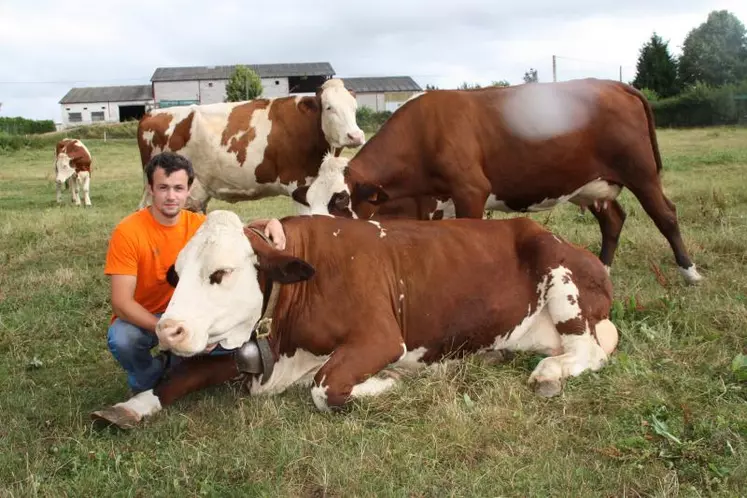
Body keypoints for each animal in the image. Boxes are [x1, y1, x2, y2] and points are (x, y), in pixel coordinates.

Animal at [92, 210, 620, 428]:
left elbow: (324, 387)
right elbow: (181, 377)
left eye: (219, 273)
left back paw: (549, 374)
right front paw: (132, 406)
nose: (168, 329)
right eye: (177, 274)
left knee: (589, 350)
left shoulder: (381, 338)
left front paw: (385, 383)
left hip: (562, 282)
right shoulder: (249, 351)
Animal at [294, 80, 708, 286]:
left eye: (340, 201)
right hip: (591, 185)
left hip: (641, 173)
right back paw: (601, 270)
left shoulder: (470, 192)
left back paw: (689, 272)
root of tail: (616, 84)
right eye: (306, 201)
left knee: (666, 215)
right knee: (613, 219)